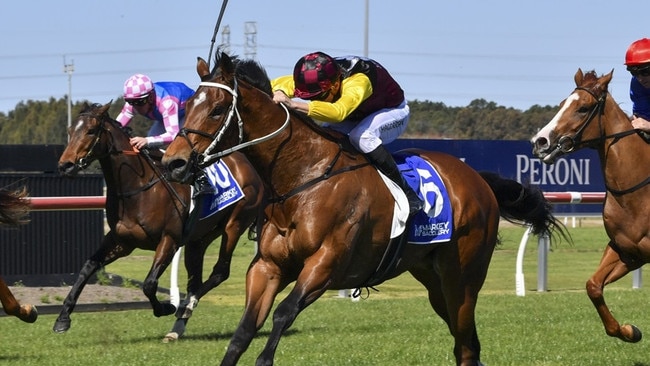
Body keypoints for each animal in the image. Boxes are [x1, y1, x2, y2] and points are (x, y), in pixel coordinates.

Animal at [56, 101, 264, 338]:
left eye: (91, 131)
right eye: (70, 131)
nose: (65, 165)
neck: (138, 189)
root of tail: (250, 166)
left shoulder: (169, 239)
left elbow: (149, 284)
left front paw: (166, 307)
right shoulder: (121, 242)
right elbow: (87, 267)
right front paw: (63, 318)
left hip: (234, 224)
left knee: (220, 272)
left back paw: (185, 306)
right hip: (199, 238)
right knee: (195, 278)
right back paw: (177, 327)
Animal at [161, 52, 560, 366]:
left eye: (216, 110)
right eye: (186, 106)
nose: (173, 163)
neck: (303, 177)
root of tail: (477, 179)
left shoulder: (326, 263)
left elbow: (283, 314)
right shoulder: (268, 266)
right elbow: (244, 331)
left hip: (462, 277)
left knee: (465, 342)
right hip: (432, 279)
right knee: (466, 343)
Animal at [532, 68, 648, 344]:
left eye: (583, 108)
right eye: (562, 104)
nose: (540, 141)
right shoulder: (628, 251)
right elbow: (593, 286)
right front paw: (628, 331)